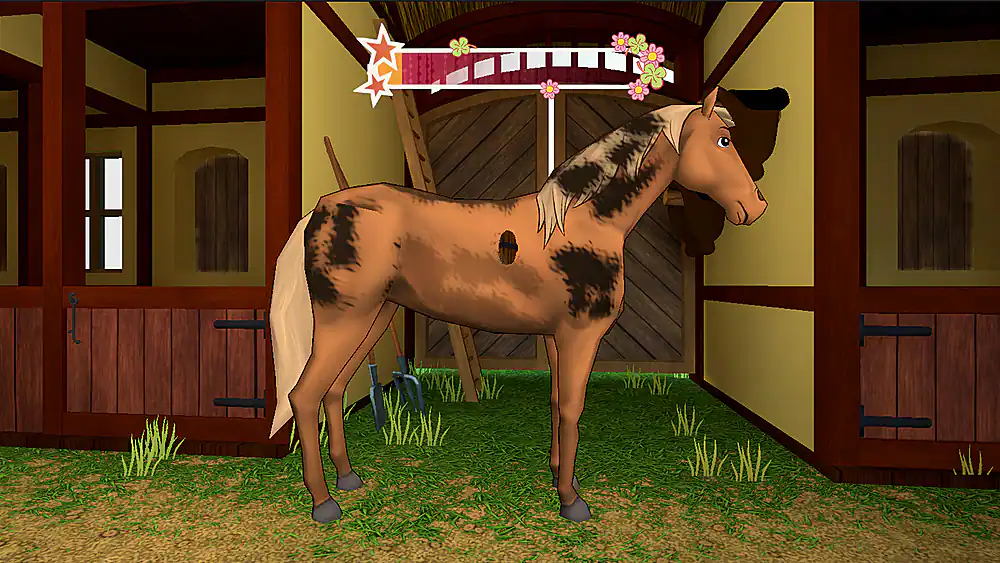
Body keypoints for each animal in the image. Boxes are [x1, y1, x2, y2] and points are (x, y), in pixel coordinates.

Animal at [268, 86, 790, 524]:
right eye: (723, 140)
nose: (757, 207)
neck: (584, 223)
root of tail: (322, 208)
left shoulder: (559, 338)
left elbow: (558, 402)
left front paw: (561, 477)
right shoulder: (580, 336)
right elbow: (573, 408)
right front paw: (572, 502)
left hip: (373, 318)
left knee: (333, 392)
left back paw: (349, 479)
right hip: (345, 318)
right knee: (304, 396)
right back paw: (324, 504)